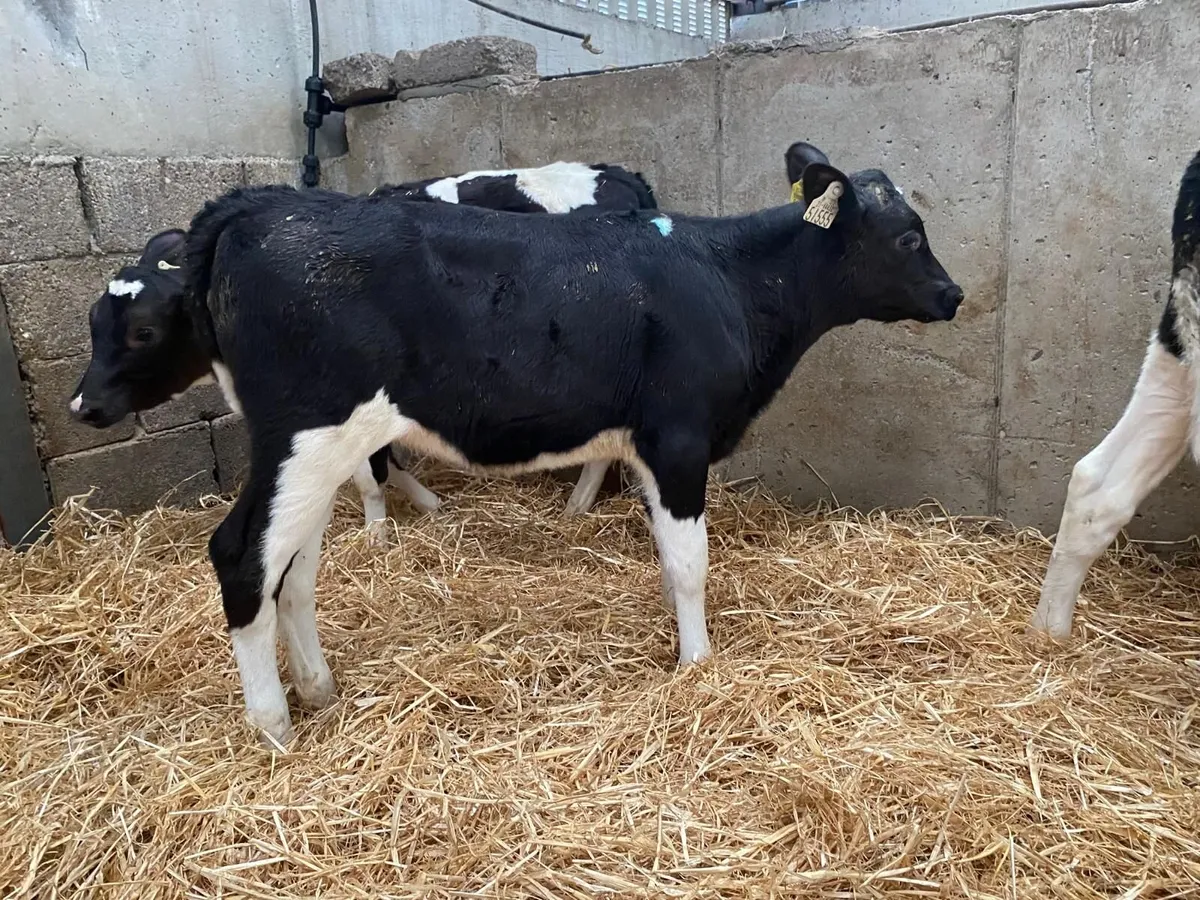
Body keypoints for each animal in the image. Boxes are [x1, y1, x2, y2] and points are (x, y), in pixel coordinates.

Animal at [68, 142, 964, 745]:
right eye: (909, 237)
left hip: (304, 447)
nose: (953, 294)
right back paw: (274, 727)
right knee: (241, 555)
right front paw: (698, 666)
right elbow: (689, 564)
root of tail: (253, 205)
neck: (727, 276)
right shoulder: (678, 438)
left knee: (293, 567)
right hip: (311, 430)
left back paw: (318, 689)